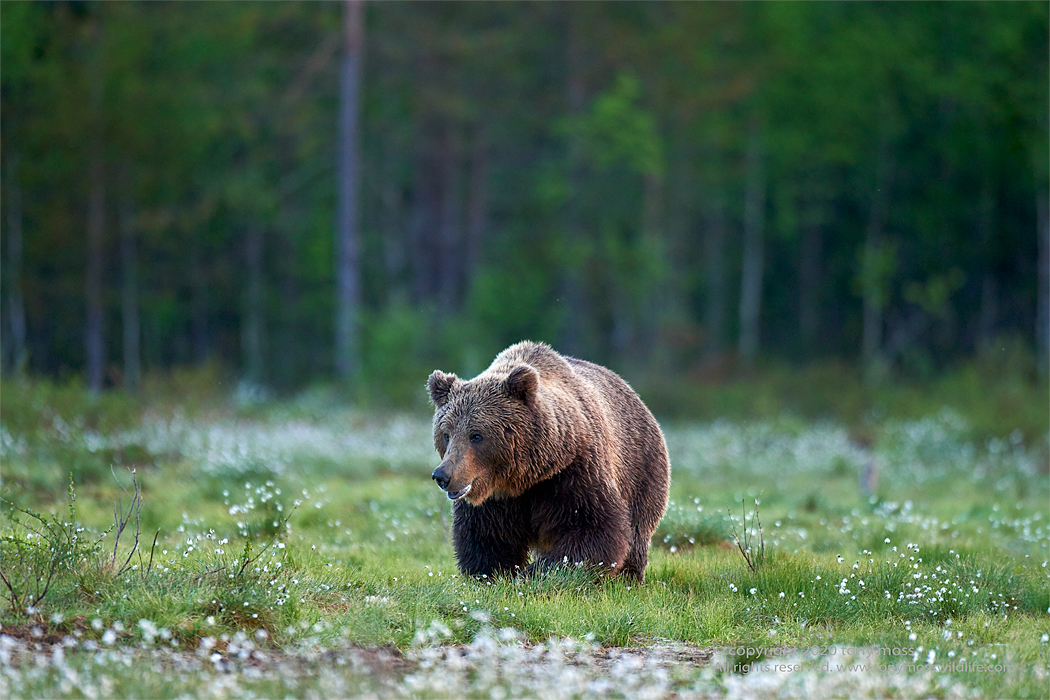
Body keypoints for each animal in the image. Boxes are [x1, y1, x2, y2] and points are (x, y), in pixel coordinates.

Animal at [428, 342, 667, 583]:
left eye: (476, 435)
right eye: (446, 434)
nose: (442, 475)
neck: (524, 477)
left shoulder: (573, 473)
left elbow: (591, 528)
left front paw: (536, 572)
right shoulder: (494, 501)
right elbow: (485, 538)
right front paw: (493, 574)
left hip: (640, 470)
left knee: (637, 530)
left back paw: (628, 577)